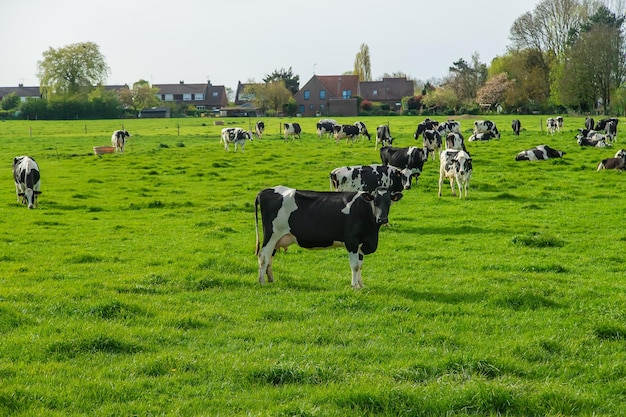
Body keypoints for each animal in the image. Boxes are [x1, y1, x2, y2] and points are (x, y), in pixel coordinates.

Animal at [252, 184, 400, 286]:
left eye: (389, 202)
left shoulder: (361, 243)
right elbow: (355, 265)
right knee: (263, 256)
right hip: (272, 234)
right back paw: (262, 282)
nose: (382, 219)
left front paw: (361, 285)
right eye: (375, 201)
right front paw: (355, 286)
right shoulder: (351, 242)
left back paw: (270, 279)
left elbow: (360, 265)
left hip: (277, 239)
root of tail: (266, 191)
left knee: (270, 257)